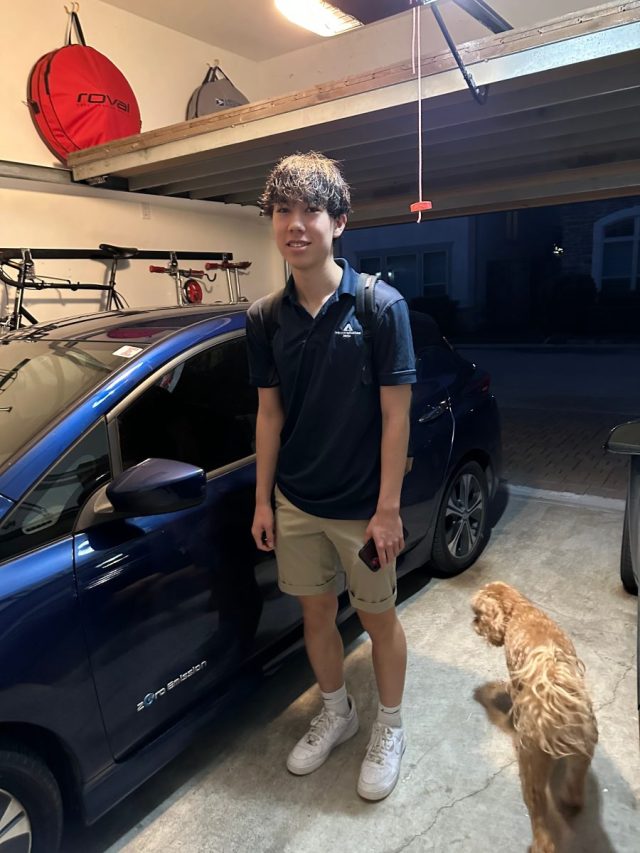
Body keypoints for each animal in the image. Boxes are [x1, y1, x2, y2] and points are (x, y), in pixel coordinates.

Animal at [471, 582, 598, 853]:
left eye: (479, 614)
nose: (474, 623)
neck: (519, 609)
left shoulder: (515, 679)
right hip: (582, 753)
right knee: (575, 783)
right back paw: (571, 800)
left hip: (533, 765)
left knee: (537, 808)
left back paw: (542, 844)